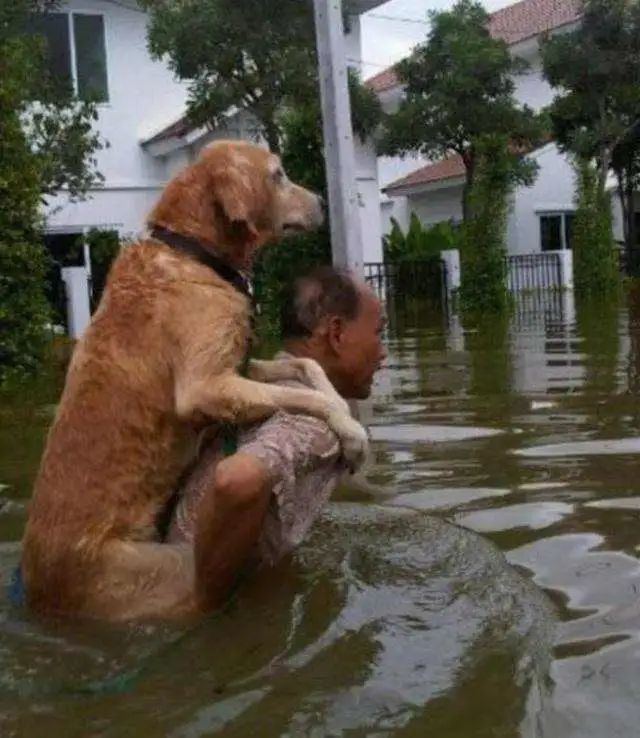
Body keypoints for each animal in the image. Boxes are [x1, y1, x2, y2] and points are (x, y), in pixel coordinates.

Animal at [22, 141, 368, 620]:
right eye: (278, 174)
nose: (321, 200)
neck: (195, 254)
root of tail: (37, 591)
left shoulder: (236, 366)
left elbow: (306, 368)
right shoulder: (206, 385)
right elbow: (311, 400)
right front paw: (352, 432)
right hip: (159, 569)